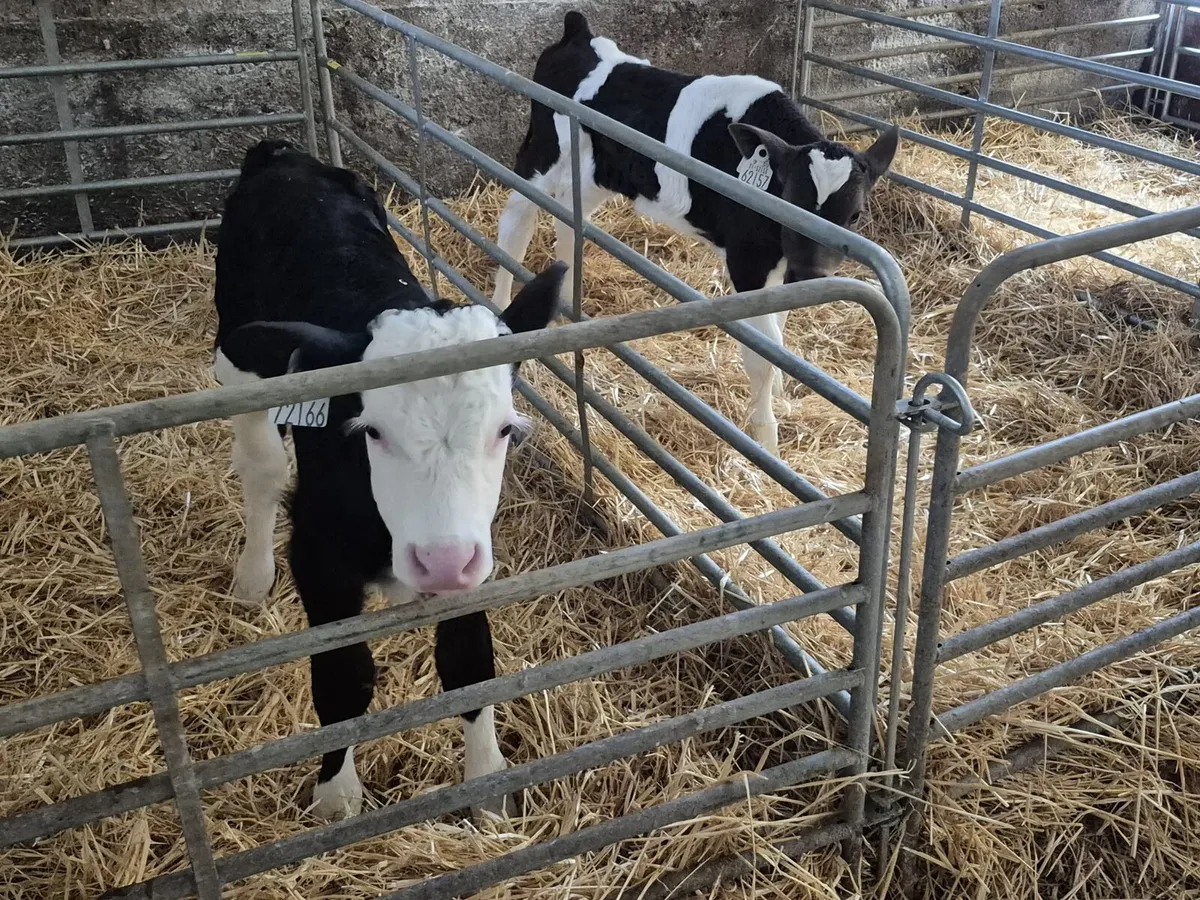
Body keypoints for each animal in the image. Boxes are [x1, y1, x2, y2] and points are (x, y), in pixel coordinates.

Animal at [212, 139, 565, 820]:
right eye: (371, 431)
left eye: (505, 431)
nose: (441, 561)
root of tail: (282, 155)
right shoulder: (319, 556)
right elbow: (342, 679)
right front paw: (336, 798)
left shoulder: (471, 549)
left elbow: (468, 662)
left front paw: (487, 785)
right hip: (235, 354)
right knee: (262, 467)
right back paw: (251, 576)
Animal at [491, 11, 899, 455]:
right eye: (791, 199)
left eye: (855, 214)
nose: (812, 273)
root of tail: (577, 31)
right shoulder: (748, 261)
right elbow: (762, 353)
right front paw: (767, 442)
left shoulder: (782, 268)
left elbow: (779, 332)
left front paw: (782, 392)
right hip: (541, 154)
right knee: (515, 221)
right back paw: (502, 311)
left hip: (594, 176)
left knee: (567, 222)